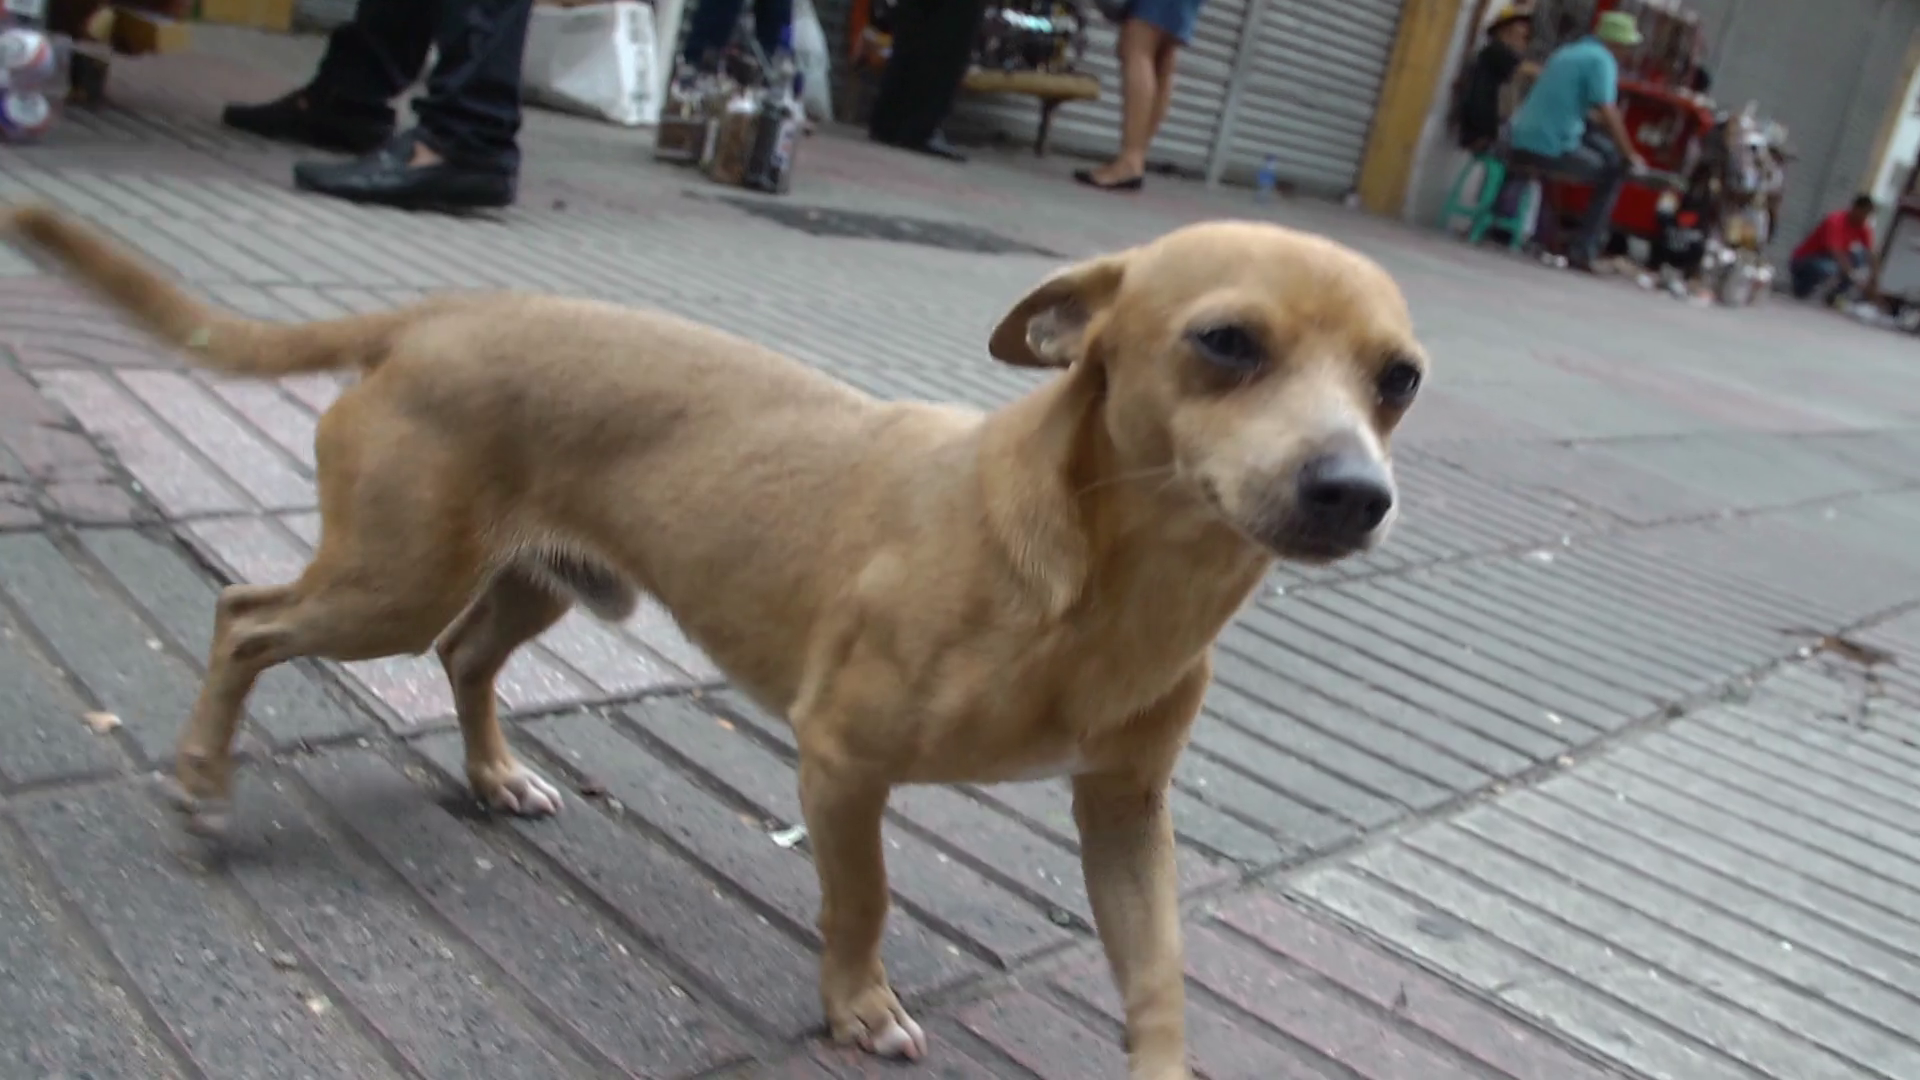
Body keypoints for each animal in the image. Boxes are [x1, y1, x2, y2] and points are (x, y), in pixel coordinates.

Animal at [7, 205, 1425, 1078]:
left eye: (1398, 380)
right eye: (1225, 343)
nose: (1355, 492)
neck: (1118, 584)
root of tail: (443, 310)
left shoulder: (1125, 815)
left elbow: (1160, 974)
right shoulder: (841, 761)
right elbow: (862, 896)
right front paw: (858, 1006)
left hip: (529, 586)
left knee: (463, 660)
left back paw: (491, 774)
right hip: (387, 586)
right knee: (246, 617)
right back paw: (204, 782)